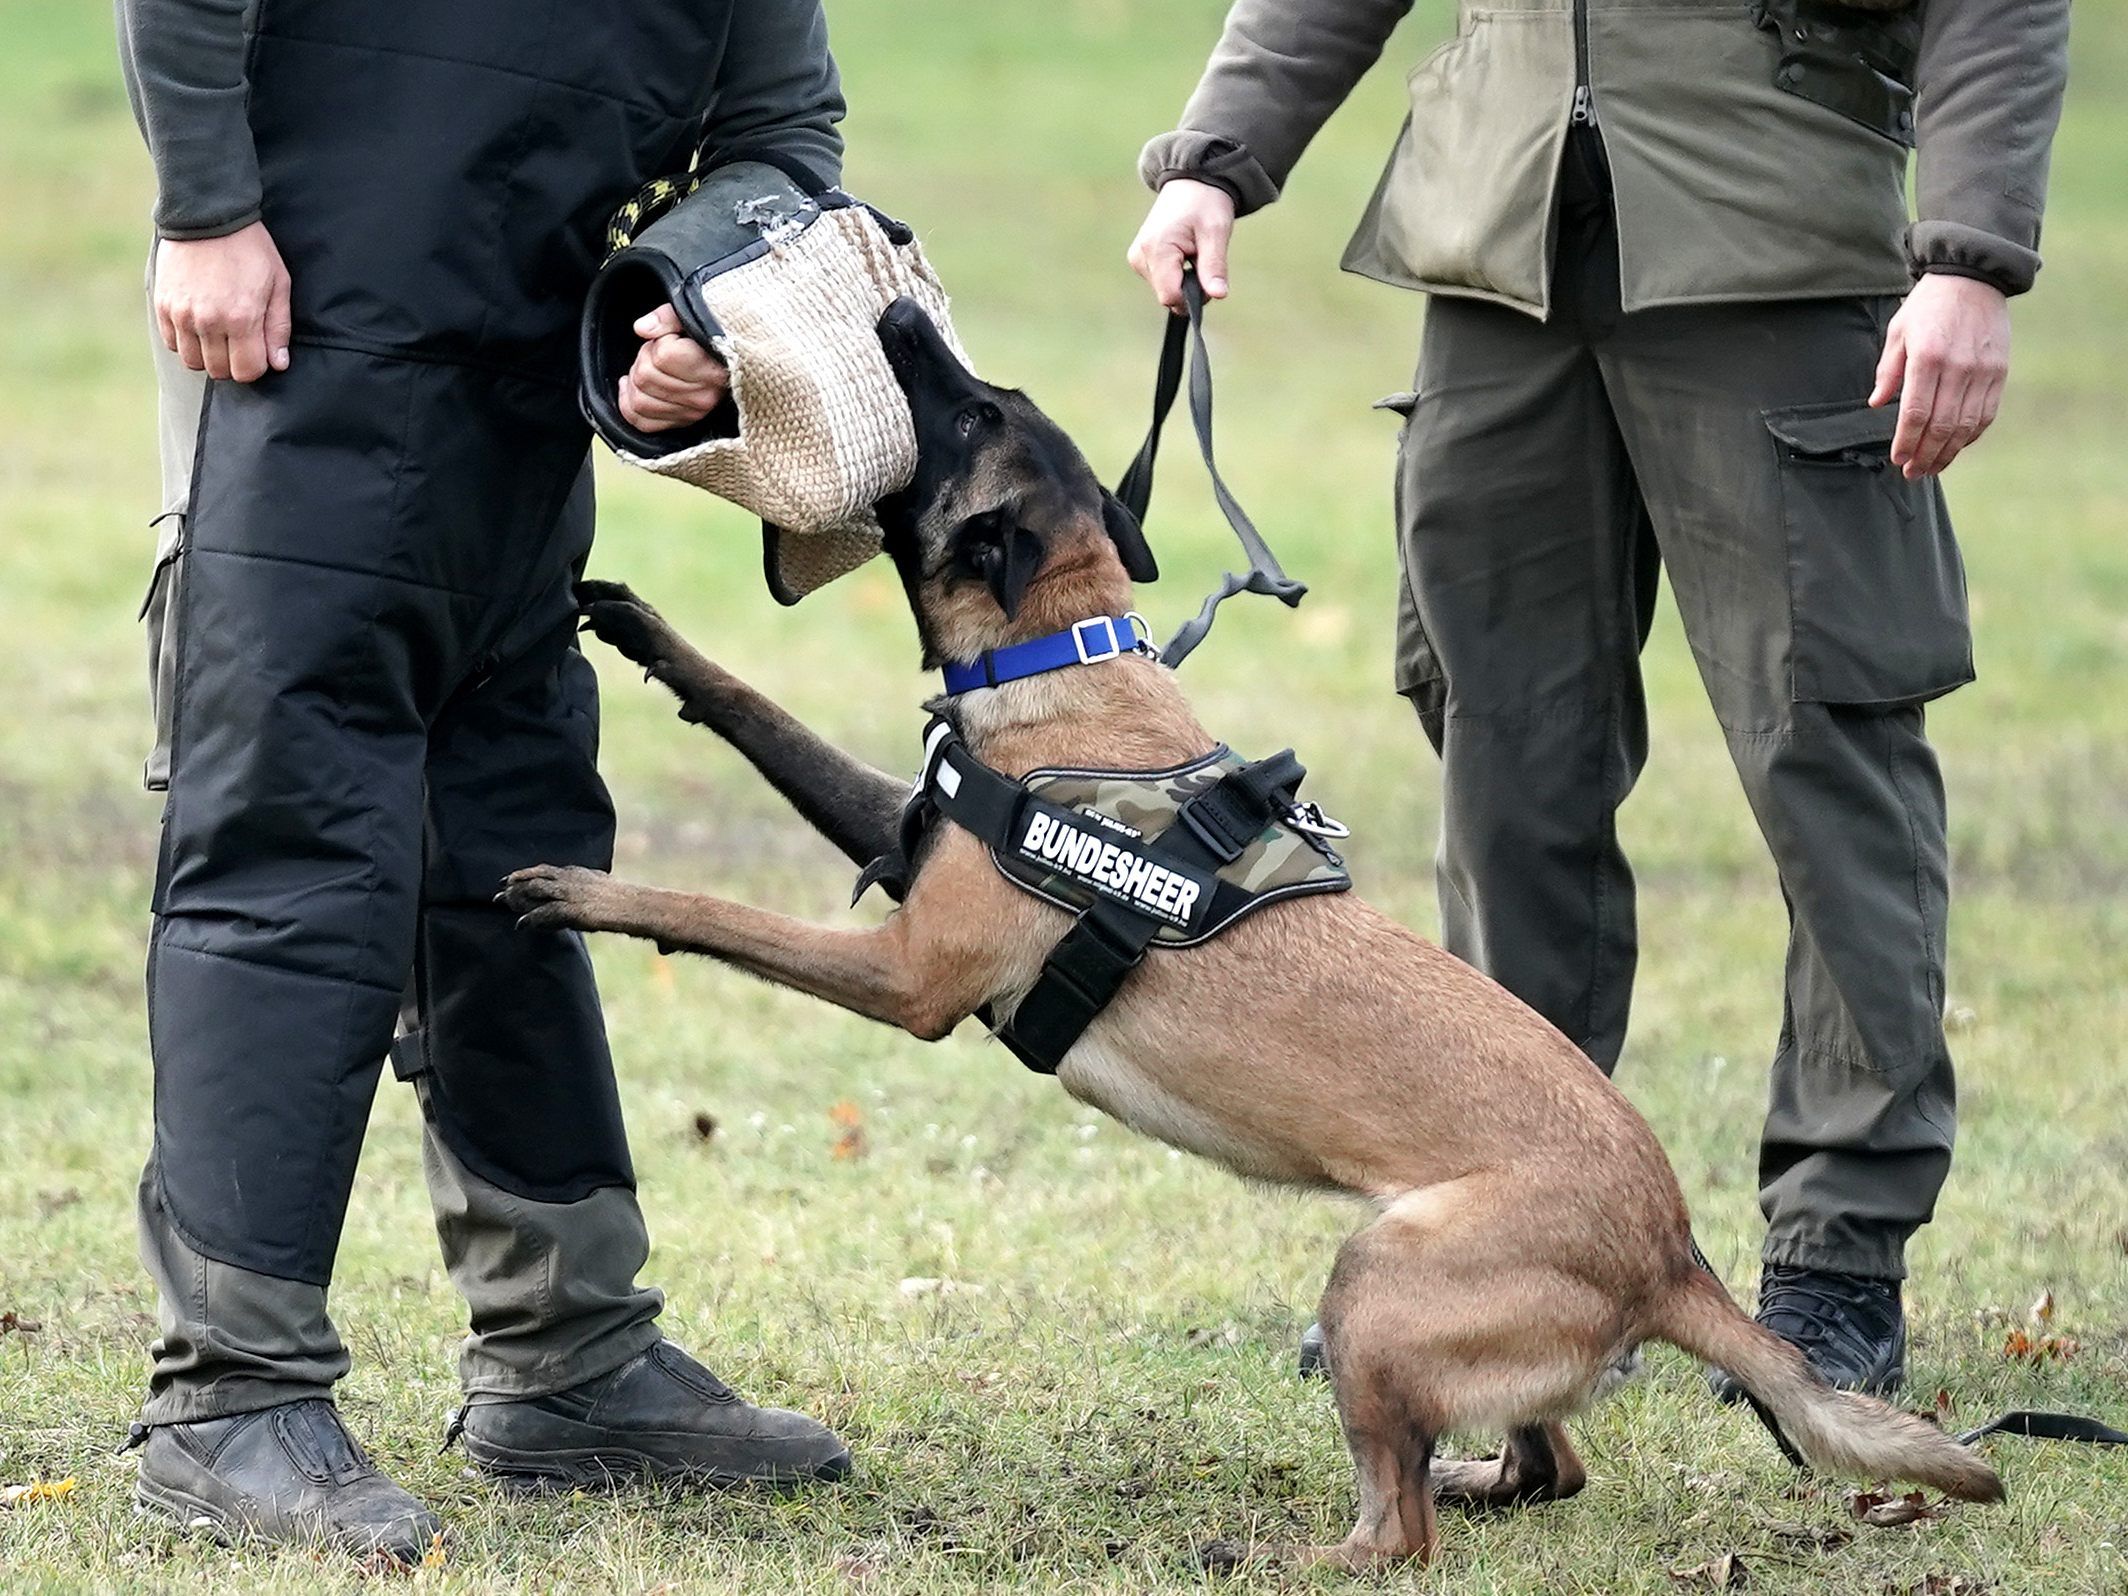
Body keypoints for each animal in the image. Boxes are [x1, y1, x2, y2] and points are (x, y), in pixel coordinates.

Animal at [506, 302, 2000, 1574]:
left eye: (967, 410)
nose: (896, 312)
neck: (1061, 656)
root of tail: (1673, 1252)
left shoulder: (909, 977)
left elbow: (717, 913)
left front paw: (586, 894)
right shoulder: (897, 832)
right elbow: (759, 713)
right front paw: (642, 629)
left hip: (1374, 1287)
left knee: (1398, 1531)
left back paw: (1288, 1551)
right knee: (1546, 1463)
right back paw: (1475, 1477)